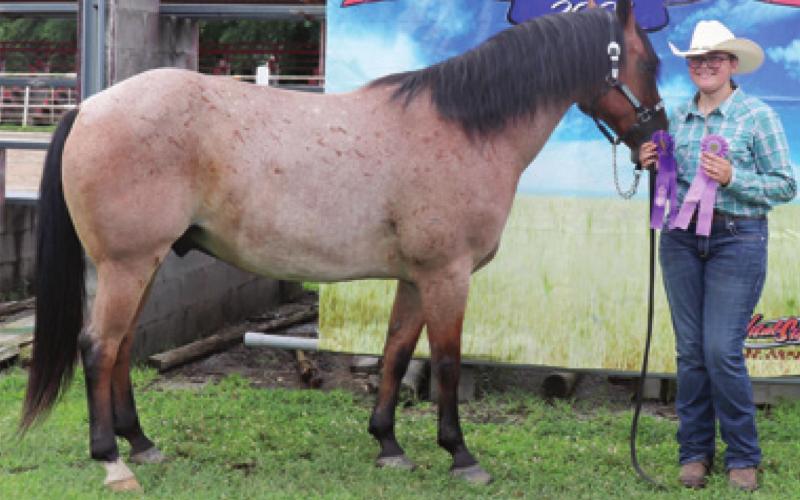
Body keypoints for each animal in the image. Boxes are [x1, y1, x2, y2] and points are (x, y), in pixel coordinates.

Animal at [21, 0, 666, 491]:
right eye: (649, 61)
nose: (656, 137)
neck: (464, 129)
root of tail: (89, 106)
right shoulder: (448, 275)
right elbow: (448, 361)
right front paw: (460, 454)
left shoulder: (416, 278)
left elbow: (396, 353)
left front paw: (388, 443)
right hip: (126, 264)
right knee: (98, 347)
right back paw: (111, 459)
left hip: (145, 264)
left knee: (123, 347)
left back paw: (141, 441)